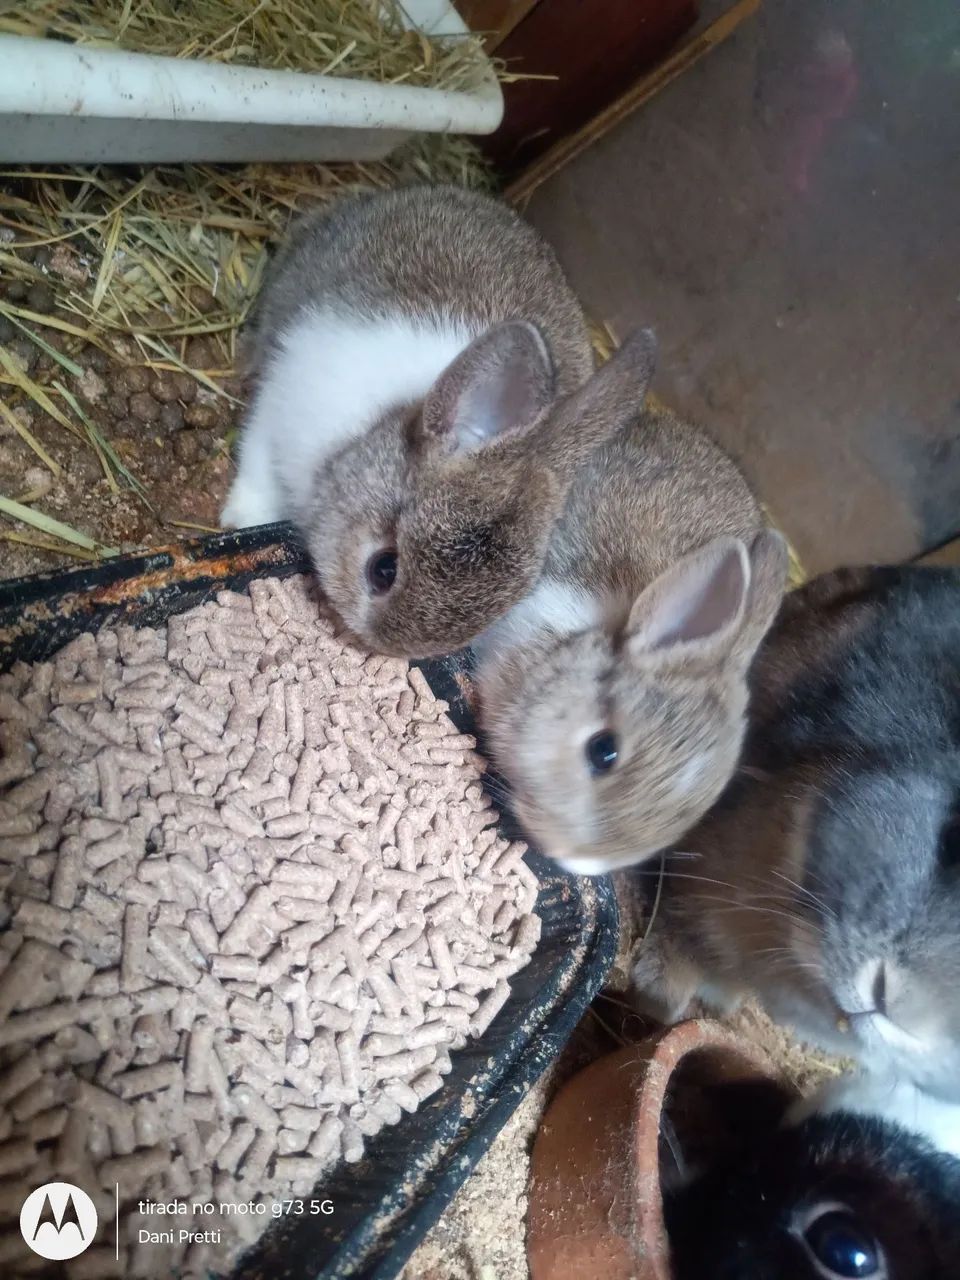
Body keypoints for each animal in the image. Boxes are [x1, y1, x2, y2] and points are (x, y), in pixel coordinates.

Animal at [220, 183, 621, 658]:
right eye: (383, 569)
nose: (383, 645)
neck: (364, 437)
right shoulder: (279, 404)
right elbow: (257, 468)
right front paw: (239, 520)